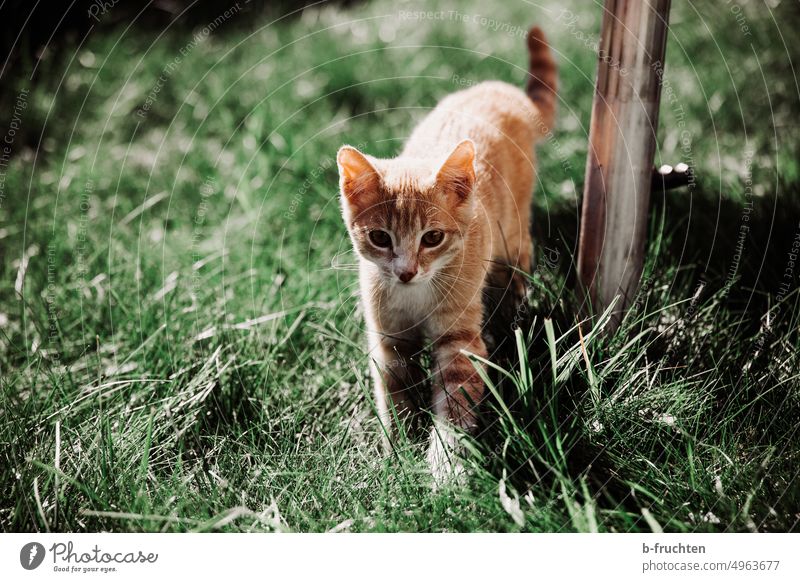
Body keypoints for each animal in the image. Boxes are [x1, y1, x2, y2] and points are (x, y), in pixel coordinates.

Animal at [338, 27, 556, 482]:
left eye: (433, 237)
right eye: (380, 238)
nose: (406, 271)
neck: (413, 296)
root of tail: (501, 91)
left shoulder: (459, 341)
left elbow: (455, 405)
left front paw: (446, 468)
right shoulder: (387, 341)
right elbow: (394, 393)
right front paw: (397, 450)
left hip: (511, 239)